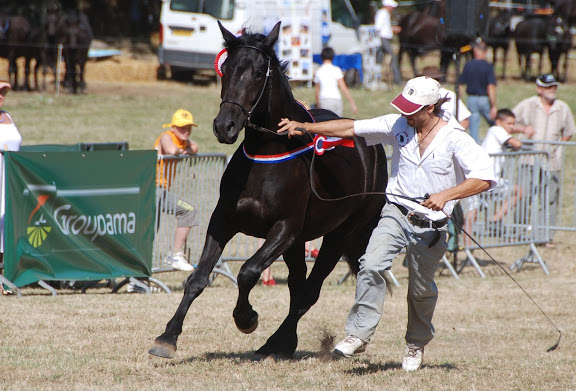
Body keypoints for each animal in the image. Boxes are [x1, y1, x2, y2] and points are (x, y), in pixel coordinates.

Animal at [148, 20, 390, 358]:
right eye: (226, 69)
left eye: (258, 72)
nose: (225, 126)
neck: (266, 156)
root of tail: (372, 146)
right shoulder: (223, 222)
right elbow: (198, 278)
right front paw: (168, 337)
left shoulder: (284, 229)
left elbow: (248, 272)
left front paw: (246, 318)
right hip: (301, 243)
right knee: (298, 286)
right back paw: (283, 343)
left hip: (341, 234)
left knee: (309, 290)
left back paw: (277, 341)